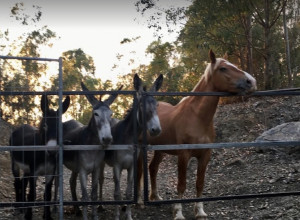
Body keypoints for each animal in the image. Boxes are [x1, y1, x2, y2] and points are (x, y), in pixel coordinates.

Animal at [144, 50, 256, 220]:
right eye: (223, 68)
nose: (251, 81)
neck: (196, 117)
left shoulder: (205, 155)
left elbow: (200, 183)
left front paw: (200, 211)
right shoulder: (184, 155)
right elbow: (181, 184)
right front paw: (178, 213)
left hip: (160, 150)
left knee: (153, 168)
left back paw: (155, 197)